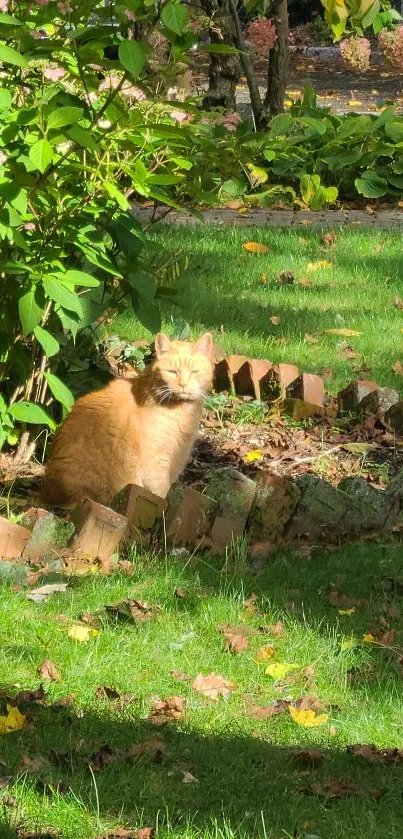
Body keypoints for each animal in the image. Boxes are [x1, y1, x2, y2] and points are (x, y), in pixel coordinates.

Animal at [42, 334, 215, 506]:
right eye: (172, 372)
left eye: (194, 372)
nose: (183, 384)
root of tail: (49, 493)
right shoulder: (156, 462)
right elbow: (162, 493)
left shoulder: (177, 456)